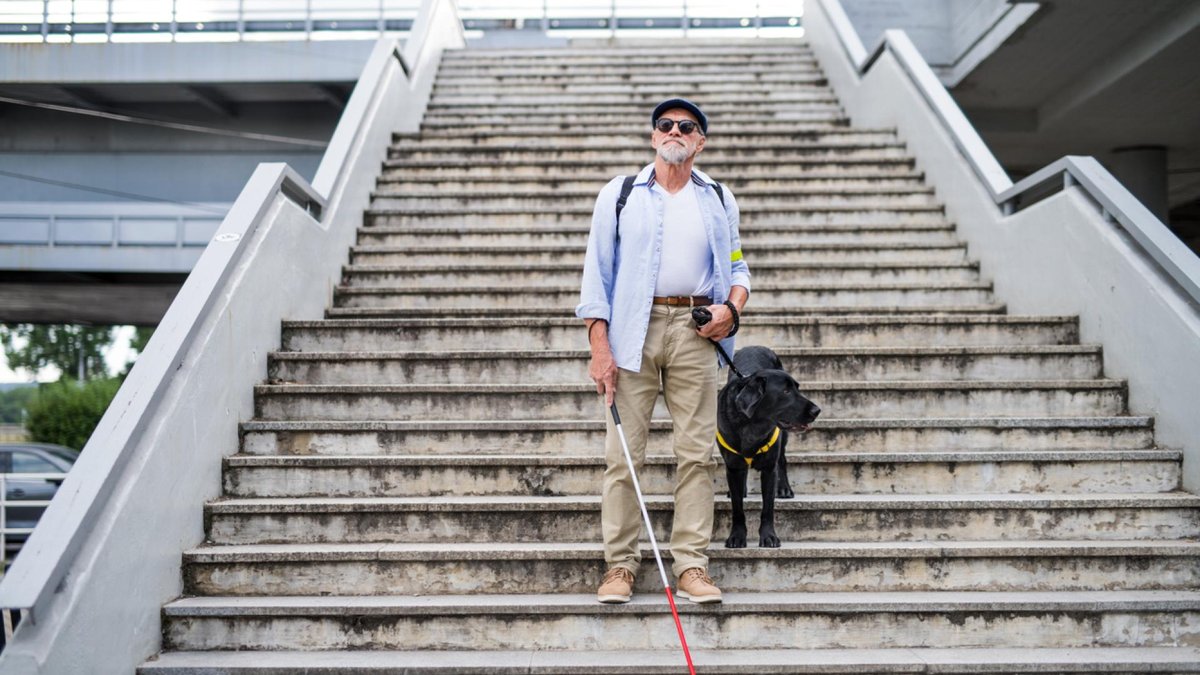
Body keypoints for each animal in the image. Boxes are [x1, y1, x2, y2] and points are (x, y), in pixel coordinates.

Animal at [715, 343, 820, 542]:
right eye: (786, 391)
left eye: (797, 388)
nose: (817, 410)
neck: (751, 424)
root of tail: (754, 346)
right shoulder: (732, 467)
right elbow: (737, 507)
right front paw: (737, 537)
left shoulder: (769, 469)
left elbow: (767, 508)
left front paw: (769, 536)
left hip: (783, 437)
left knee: (783, 460)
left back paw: (785, 489)